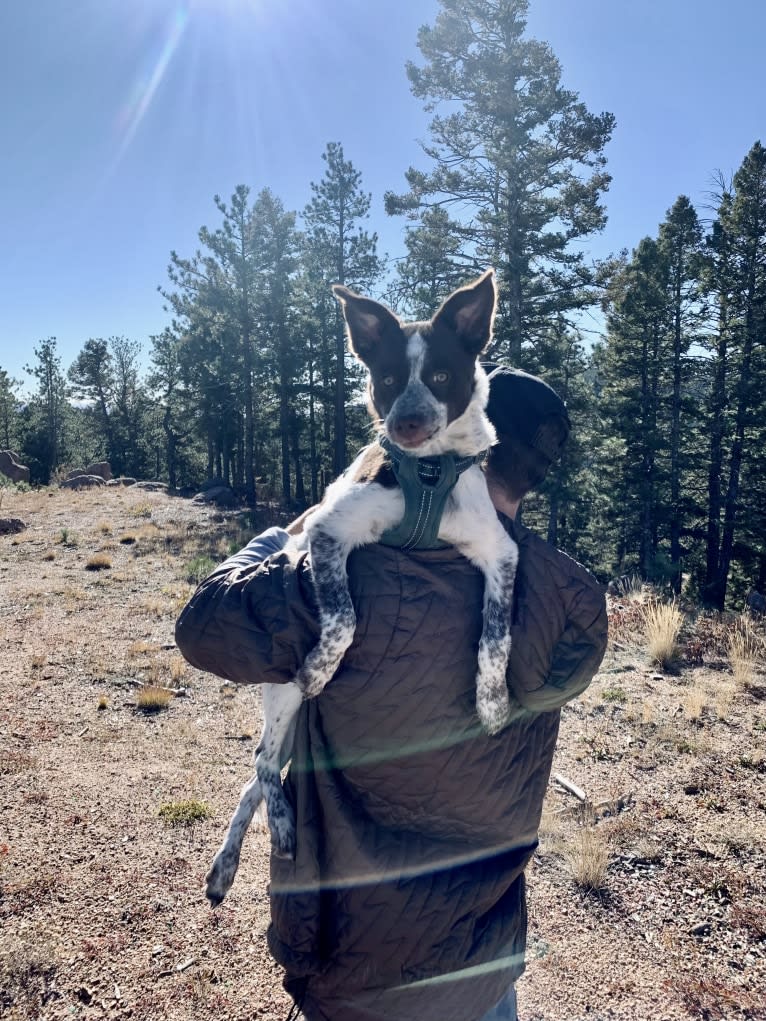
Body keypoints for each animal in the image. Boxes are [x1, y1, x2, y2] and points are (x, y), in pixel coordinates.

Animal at [204, 267, 518, 906]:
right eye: (389, 380)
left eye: (441, 376)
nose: (405, 424)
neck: (428, 475)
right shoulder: (328, 530)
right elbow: (344, 618)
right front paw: (323, 667)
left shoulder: (499, 553)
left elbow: (496, 637)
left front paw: (492, 701)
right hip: (280, 695)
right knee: (263, 763)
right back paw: (273, 830)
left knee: (257, 774)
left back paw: (230, 863)